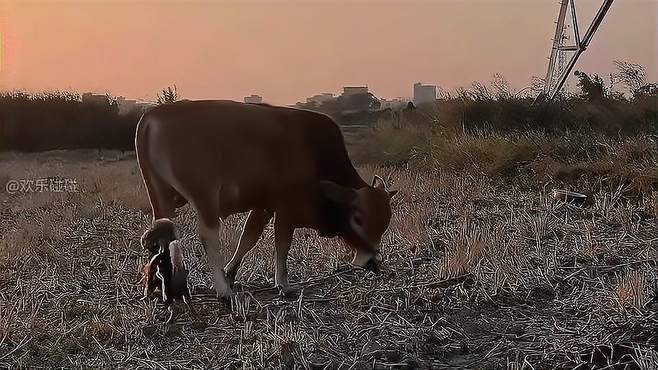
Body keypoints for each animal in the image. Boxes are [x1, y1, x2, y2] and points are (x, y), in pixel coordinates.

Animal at [135, 99, 394, 300]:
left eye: (384, 224)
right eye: (358, 219)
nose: (372, 260)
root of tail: (152, 116)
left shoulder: (264, 207)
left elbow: (248, 238)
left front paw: (231, 272)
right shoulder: (286, 209)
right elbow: (282, 245)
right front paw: (283, 284)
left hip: (160, 197)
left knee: (162, 234)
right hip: (204, 196)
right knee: (208, 236)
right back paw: (223, 292)